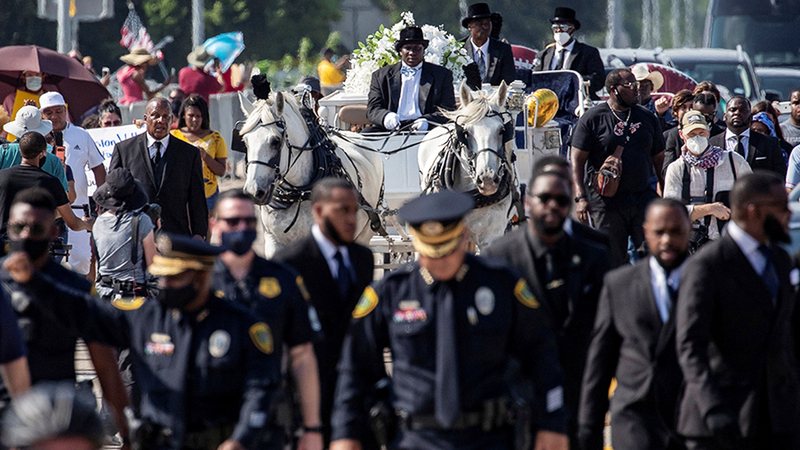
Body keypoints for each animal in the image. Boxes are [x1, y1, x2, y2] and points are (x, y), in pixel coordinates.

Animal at [238, 91, 384, 256]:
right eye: (245, 141)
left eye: (275, 141)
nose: (253, 191)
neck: (299, 194)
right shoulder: (273, 240)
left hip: (364, 234)